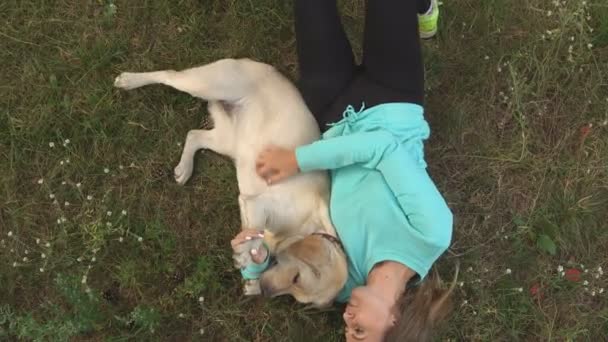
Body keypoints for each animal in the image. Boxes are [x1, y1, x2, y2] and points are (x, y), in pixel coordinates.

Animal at [115, 58, 346, 308]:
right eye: (296, 278)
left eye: (297, 295)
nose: (265, 292)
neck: (304, 229)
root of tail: (258, 63)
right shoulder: (259, 205)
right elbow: (254, 236)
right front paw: (245, 255)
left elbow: (256, 241)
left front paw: (251, 272)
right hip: (204, 84)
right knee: (168, 74)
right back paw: (128, 80)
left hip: (228, 142)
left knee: (193, 135)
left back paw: (184, 169)